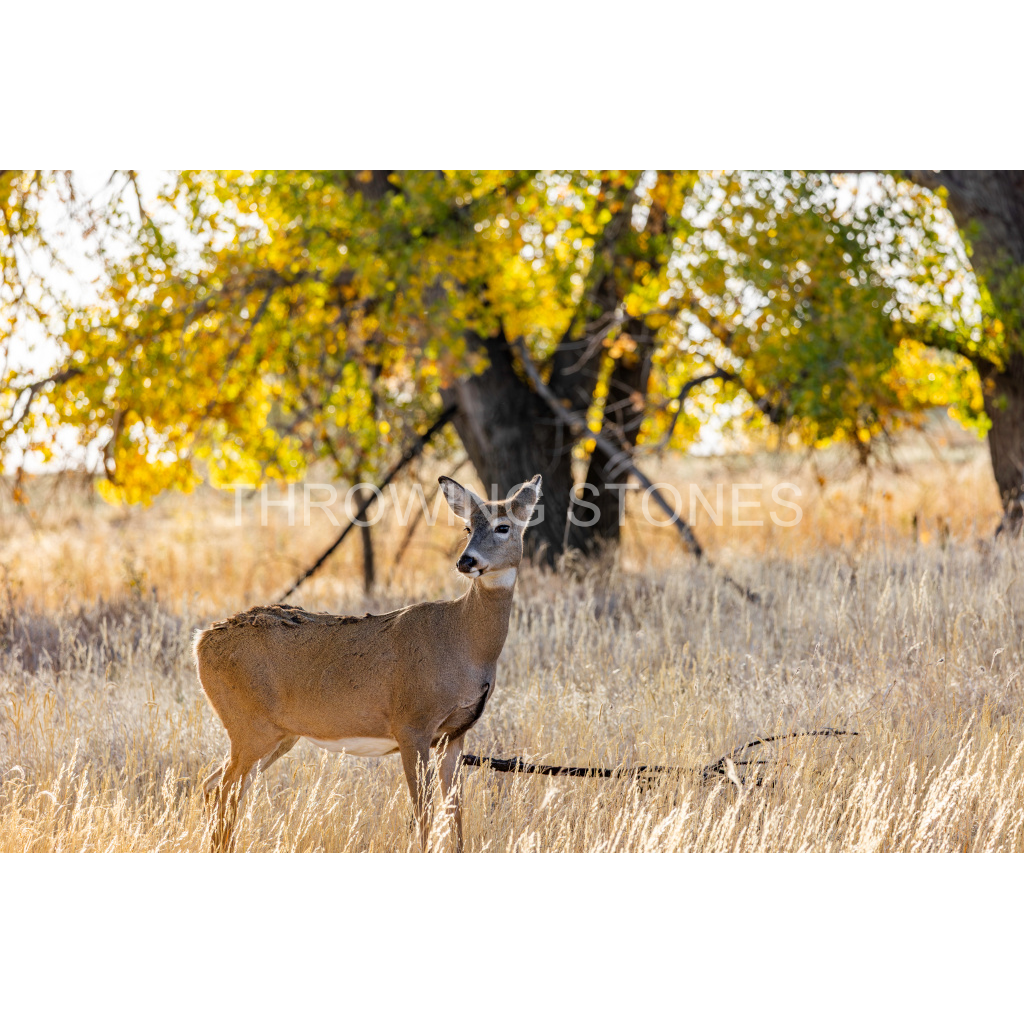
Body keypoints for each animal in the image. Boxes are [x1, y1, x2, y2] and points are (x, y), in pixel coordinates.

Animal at [194, 473, 542, 851]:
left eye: (503, 526)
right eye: (467, 527)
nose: (466, 562)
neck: (464, 641)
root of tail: (201, 641)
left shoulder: (453, 735)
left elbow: (456, 816)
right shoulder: (411, 723)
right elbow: (424, 813)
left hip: (278, 734)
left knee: (216, 786)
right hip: (249, 725)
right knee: (222, 787)